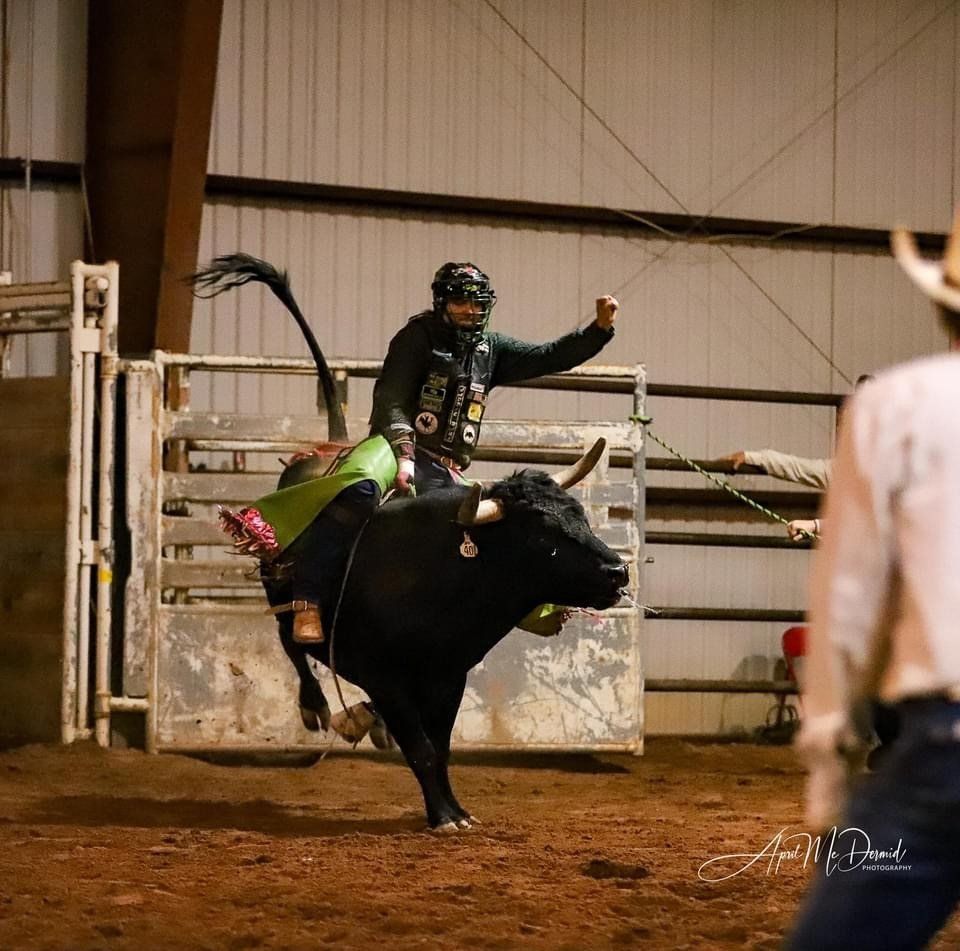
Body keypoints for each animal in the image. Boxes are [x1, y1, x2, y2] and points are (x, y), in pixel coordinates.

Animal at [191, 255, 629, 830]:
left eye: (579, 516)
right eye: (540, 534)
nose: (618, 572)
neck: (443, 573)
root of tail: (327, 446)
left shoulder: (447, 677)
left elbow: (437, 748)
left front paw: (455, 808)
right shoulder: (388, 677)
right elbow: (418, 747)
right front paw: (444, 816)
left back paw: (364, 721)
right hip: (280, 591)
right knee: (292, 642)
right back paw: (318, 706)